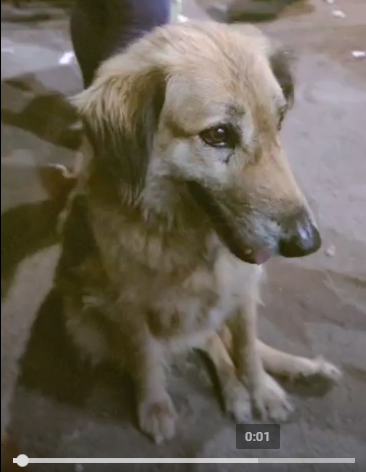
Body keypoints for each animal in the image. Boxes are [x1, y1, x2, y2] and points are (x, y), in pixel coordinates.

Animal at [55, 21, 342, 442]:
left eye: (279, 121)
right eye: (219, 134)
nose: (308, 242)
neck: (192, 240)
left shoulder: (243, 289)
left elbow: (246, 347)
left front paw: (260, 387)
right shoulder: (126, 303)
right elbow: (144, 355)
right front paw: (154, 406)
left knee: (224, 339)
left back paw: (297, 370)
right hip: (84, 325)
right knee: (201, 342)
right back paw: (237, 392)